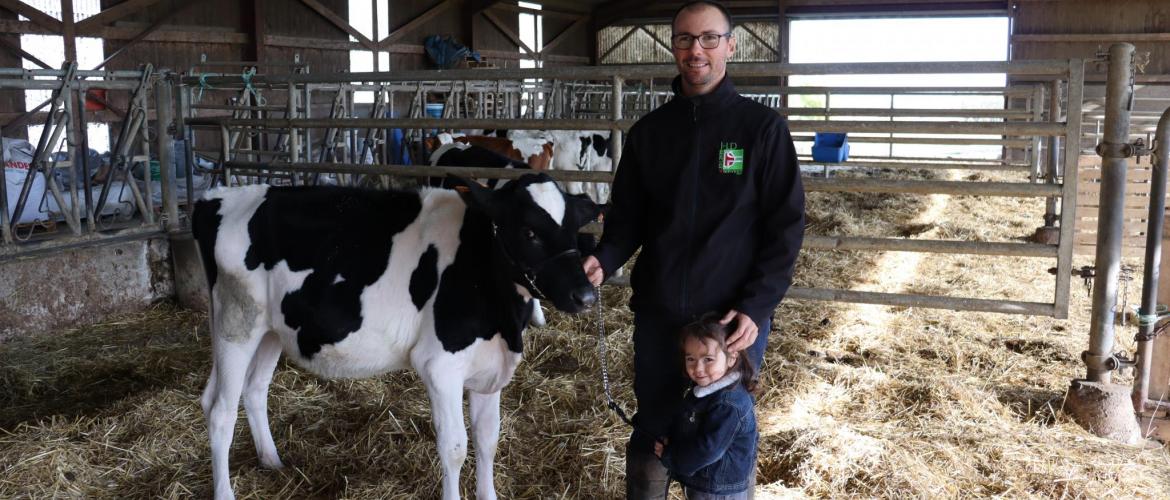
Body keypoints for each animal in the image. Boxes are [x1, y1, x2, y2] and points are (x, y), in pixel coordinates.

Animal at [191, 173, 599, 500]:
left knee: (253, 389)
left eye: (574, 230)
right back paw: (225, 492)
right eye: (529, 231)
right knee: (220, 409)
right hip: (236, 323)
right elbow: (455, 447)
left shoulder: (490, 366)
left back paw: (272, 460)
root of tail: (214, 198)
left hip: (270, 330)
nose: (586, 295)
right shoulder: (440, 367)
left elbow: (488, 439)